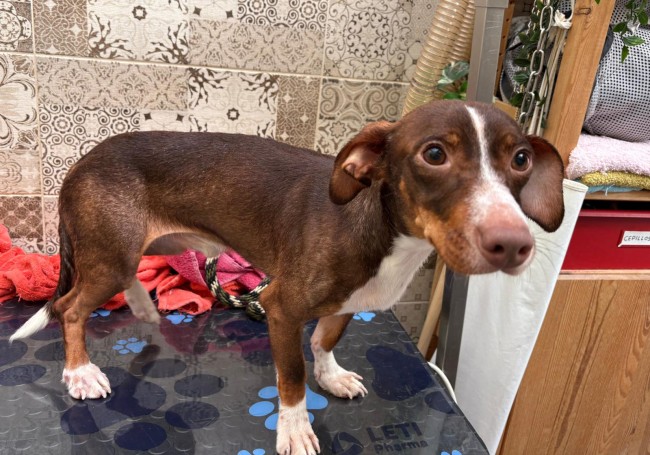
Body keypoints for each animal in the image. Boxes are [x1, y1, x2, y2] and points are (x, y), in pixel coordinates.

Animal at [11, 100, 564, 454]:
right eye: (434, 154)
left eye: (520, 159)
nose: (514, 244)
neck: (384, 233)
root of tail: (79, 166)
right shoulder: (281, 308)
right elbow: (292, 375)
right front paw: (294, 428)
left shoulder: (344, 304)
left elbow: (325, 339)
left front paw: (331, 375)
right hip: (107, 257)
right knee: (70, 308)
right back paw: (81, 371)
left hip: (127, 252)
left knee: (119, 283)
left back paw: (146, 307)